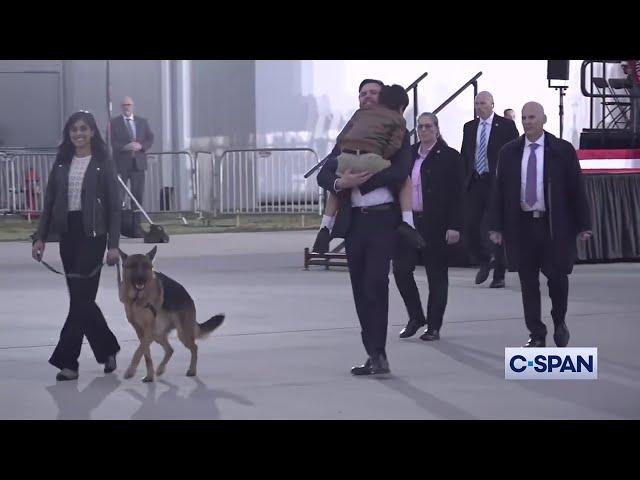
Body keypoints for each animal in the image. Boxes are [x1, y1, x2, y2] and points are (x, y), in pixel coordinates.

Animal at [117, 248, 225, 382]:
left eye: (146, 266)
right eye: (133, 265)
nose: (141, 279)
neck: (137, 299)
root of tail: (188, 297)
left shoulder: (148, 329)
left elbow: (139, 351)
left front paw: (130, 371)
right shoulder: (139, 330)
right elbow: (146, 354)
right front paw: (149, 375)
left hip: (182, 334)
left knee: (194, 347)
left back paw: (192, 370)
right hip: (158, 334)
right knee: (170, 350)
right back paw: (160, 369)